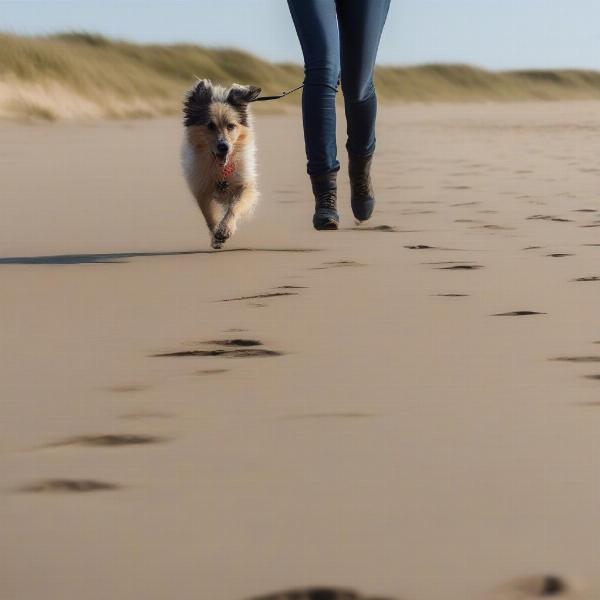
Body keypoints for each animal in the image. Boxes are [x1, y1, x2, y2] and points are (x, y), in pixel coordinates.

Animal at [180, 79, 260, 248]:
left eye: (231, 126)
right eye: (210, 125)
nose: (224, 147)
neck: (220, 169)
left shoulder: (245, 185)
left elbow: (235, 206)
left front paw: (225, 228)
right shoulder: (201, 188)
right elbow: (208, 213)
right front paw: (216, 236)